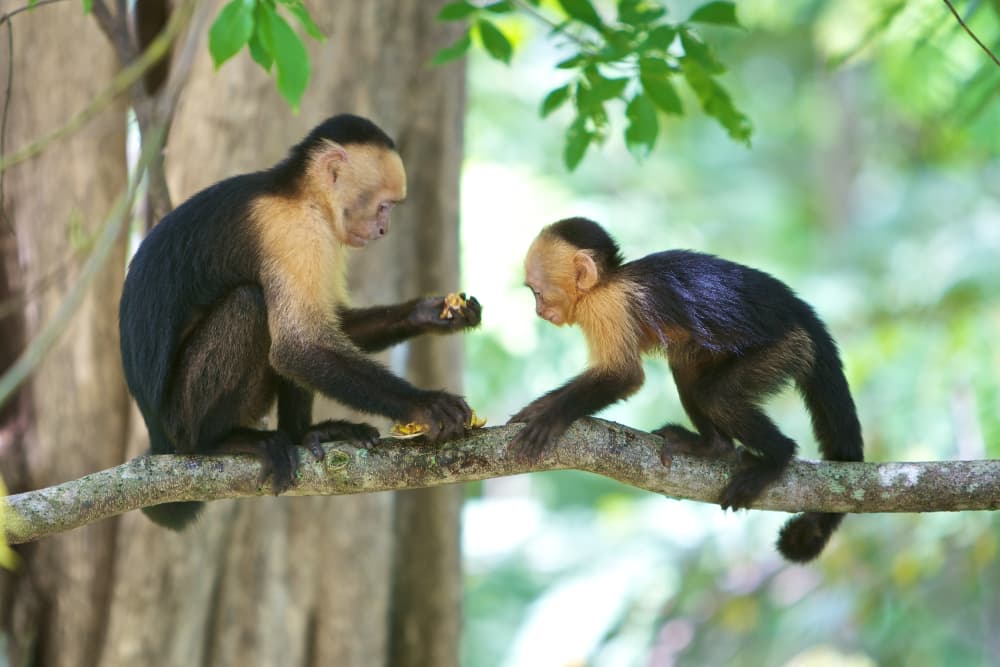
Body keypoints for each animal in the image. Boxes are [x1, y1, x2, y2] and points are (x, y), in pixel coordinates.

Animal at [119, 114, 482, 531]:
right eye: (384, 205)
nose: (383, 230)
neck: (300, 196)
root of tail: (158, 437)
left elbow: (333, 328)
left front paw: (432, 313)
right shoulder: (295, 231)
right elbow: (298, 347)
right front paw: (427, 405)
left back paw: (303, 433)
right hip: (178, 420)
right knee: (252, 305)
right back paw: (217, 442)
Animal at [508, 217, 863, 562]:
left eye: (537, 293)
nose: (539, 312)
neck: (608, 281)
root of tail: (799, 309)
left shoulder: (608, 307)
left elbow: (623, 376)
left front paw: (551, 418)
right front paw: (537, 408)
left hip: (782, 348)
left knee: (717, 398)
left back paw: (777, 458)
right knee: (686, 371)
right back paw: (714, 446)